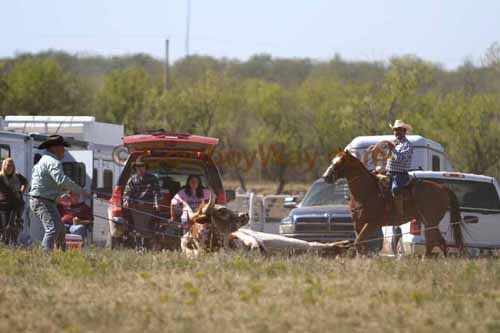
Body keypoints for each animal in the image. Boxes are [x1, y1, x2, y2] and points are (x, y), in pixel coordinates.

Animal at [320, 149, 464, 255]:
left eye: (340, 162)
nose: (326, 177)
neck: (365, 191)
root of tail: (442, 188)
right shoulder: (358, 223)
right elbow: (360, 244)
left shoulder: (372, 223)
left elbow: (359, 242)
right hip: (429, 222)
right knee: (440, 242)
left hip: (430, 221)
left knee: (432, 242)